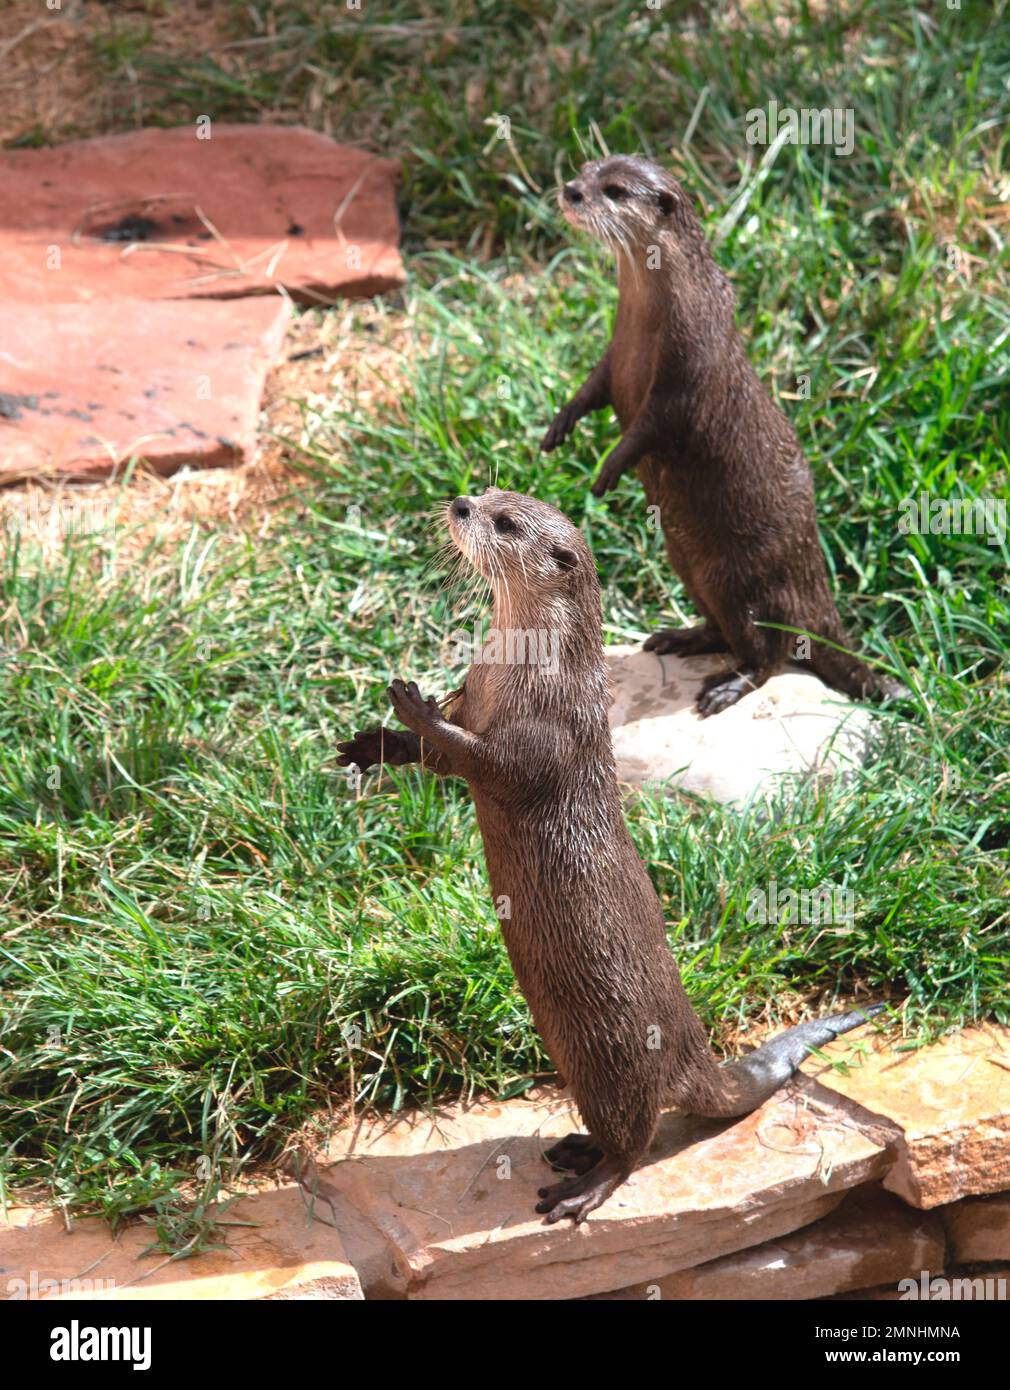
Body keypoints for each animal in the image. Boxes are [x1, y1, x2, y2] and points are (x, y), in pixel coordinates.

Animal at [336, 492, 883, 1228]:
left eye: (504, 523)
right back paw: (573, 1149)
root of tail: (694, 1056)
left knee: (636, 1137)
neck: (520, 672)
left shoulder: (547, 734)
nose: (459, 503)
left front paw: (415, 705)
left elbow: (486, 763)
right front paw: (375, 744)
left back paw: (584, 1187)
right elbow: (441, 760)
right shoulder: (477, 695)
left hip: (612, 1061)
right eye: (489, 496)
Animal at [541, 153, 905, 717]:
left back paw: (725, 686)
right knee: (725, 629)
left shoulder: (687, 371)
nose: (571, 191)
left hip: (742, 582)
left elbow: (652, 427)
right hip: (686, 563)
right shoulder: (613, 354)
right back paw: (678, 637)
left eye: (615, 190)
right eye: (586, 169)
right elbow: (591, 388)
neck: (648, 321)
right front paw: (559, 426)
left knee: (770, 651)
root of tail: (814, 589)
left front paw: (608, 470)